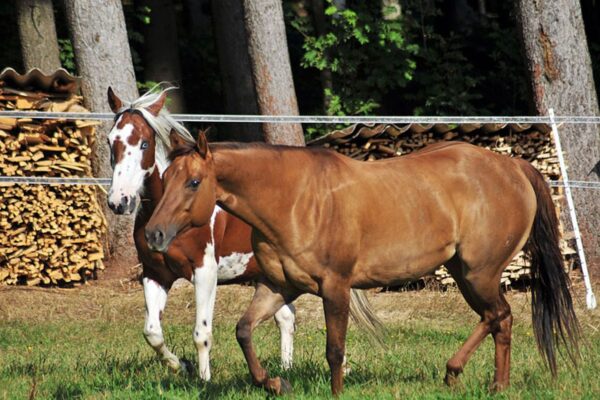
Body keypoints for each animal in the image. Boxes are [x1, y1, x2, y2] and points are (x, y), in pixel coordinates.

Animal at [107, 86, 298, 380]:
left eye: (144, 144)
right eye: (110, 142)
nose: (120, 201)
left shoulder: (205, 273)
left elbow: (202, 334)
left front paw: (204, 379)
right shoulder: (155, 274)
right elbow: (152, 333)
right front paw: (182, 365)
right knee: (286, 318)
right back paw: (286, 369)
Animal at [146, 133, 580, 396]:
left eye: (194, 182)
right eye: (165, 178)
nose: (153, 234)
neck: (294, 200)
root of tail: (514, 168)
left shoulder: (335, 286)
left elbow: (335, 349)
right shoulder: (279, 286)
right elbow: (244, 330)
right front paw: (274, 383)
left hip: (480, 272)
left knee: (498, 316)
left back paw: (462, 373)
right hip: (464, 272)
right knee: (499, 320)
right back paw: (491, 384)